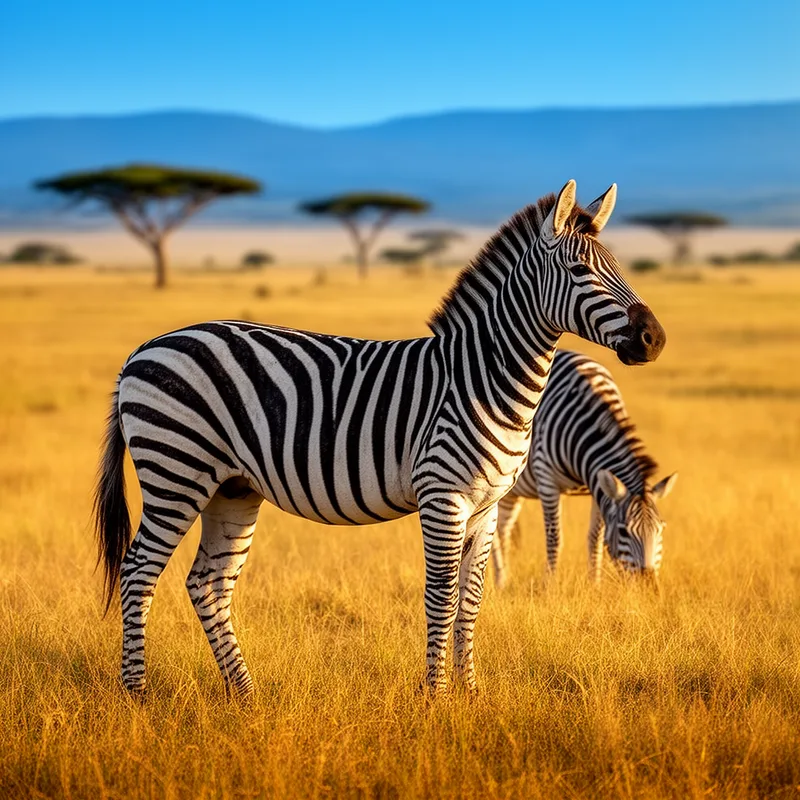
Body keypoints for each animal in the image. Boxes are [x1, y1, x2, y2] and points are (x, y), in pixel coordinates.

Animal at [490, 350, 677, 589]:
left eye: (660, 529)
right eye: (623, 530)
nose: (648, 587)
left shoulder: (597, 487)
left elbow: (595, 539)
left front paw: (595, 584)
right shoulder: (547, 479)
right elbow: (555, 538)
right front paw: (550, 586)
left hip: (512, 492)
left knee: (503, 528)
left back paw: (502, 579)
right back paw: (501, 581)